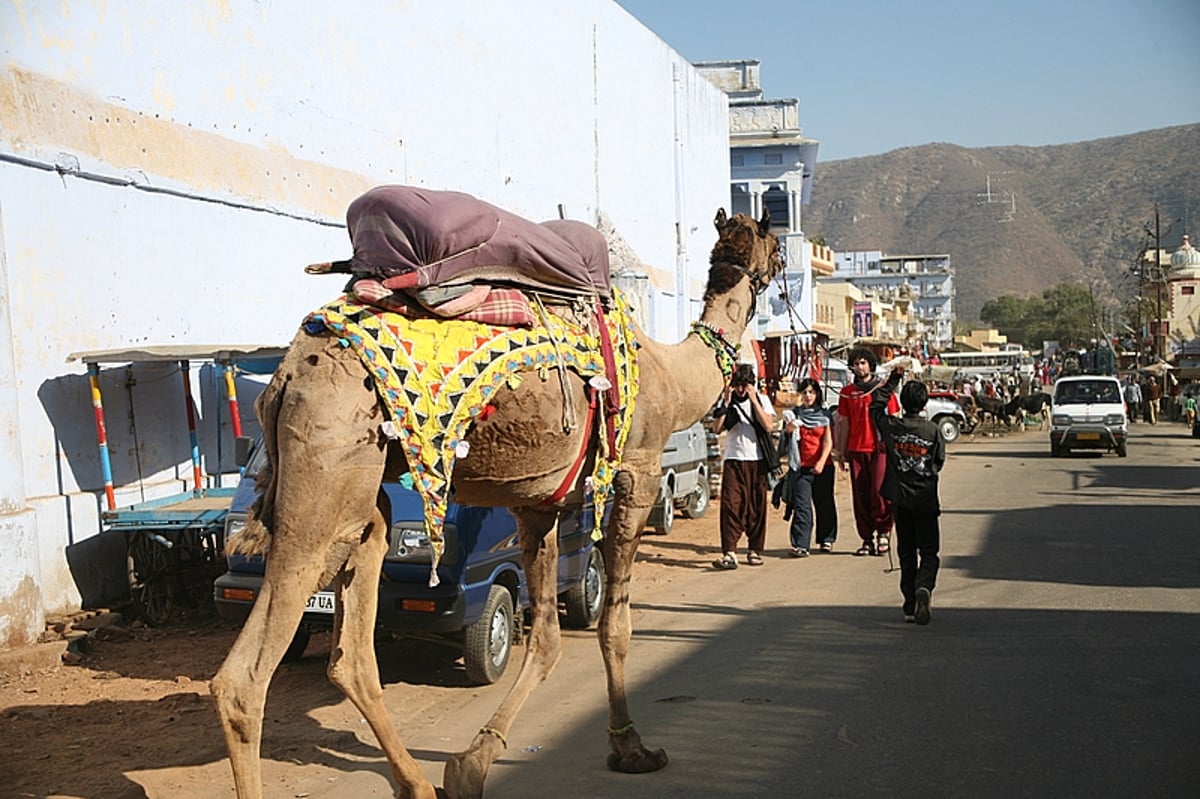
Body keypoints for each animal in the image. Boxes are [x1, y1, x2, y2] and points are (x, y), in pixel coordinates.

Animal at [210, 206, 782, 796]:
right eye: (779, 249)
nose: (777, 273)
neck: (672, 377)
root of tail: (283, 378)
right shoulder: (637, 473)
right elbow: (616, 628)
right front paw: (632, 748)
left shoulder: (539, 505)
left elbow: (547, 637)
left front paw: (471, 763)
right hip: (327, 467)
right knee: (245, 678)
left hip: (360, 491)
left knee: (352, 643)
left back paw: (416, 783)